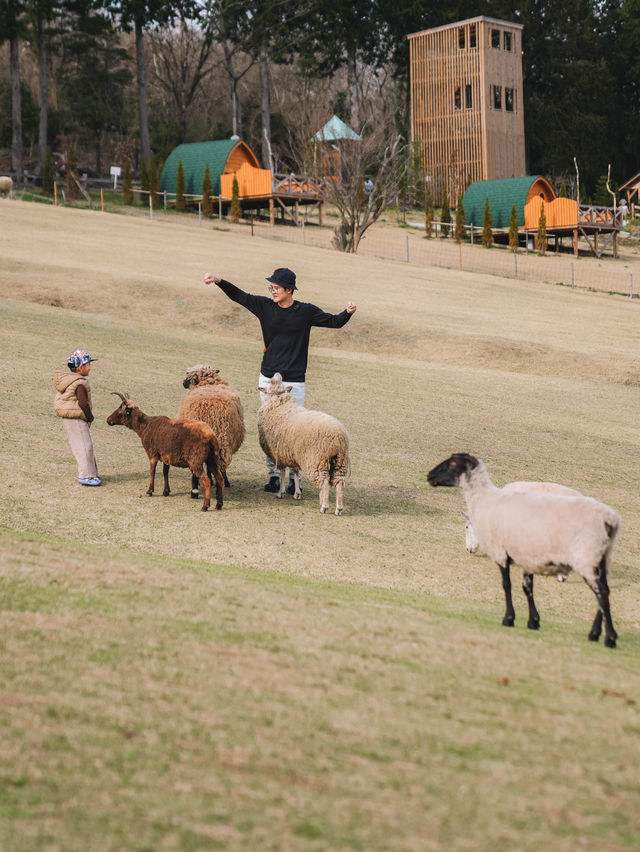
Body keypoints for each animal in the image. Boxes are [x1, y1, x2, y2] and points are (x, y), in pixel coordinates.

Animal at [258, 372, 352, 512]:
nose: (278, 373)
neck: (279, 403)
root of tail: (338, 438)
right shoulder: (293, 455)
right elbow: (296, 473)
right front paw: (297, 493)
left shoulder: (280, 454)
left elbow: (283, 474)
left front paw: (281, 493)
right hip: (340, 462)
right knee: (339, 482)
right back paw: (338, 508)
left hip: (317, 461)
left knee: (324, 483)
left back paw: (324, 506)